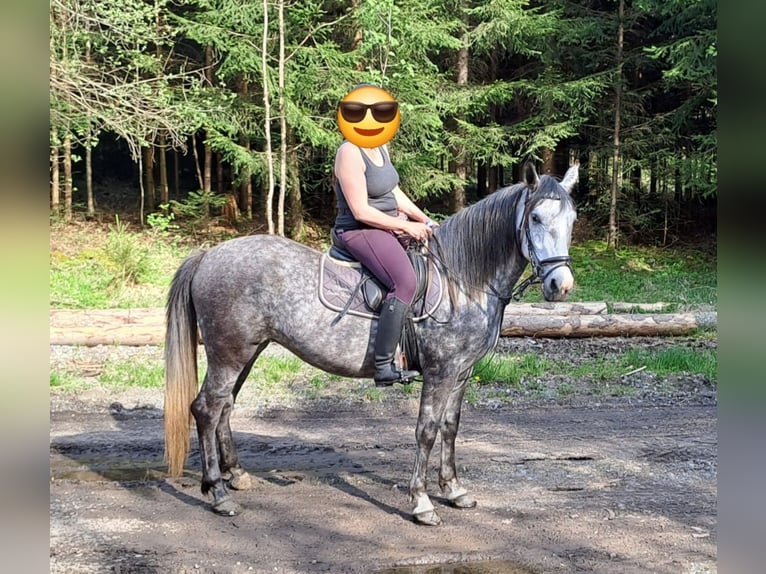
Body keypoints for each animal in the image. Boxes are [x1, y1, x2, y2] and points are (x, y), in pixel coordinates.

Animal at [165, 161, 580, 528]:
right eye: (535, 218)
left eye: (572, 220)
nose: (560, 285)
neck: (463, 282)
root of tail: (209, 254)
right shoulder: (440, 371)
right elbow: (427, 430)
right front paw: (422, 502)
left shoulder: (462, 372)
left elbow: (450, 427)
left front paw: (453, 489)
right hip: (229, 354)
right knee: (206, 409)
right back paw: (218, 493)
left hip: (248, 351)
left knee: (224, 407)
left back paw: (236, 475)